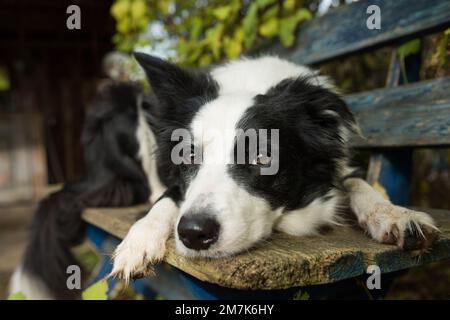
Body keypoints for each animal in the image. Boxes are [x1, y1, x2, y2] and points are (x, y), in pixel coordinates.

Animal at [11, 53, 440, 298]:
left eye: (263, 156)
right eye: (186, 155)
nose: (194, 234)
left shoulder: (340, 165)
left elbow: (358, 183)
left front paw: (394, 215)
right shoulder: (173, 183)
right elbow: (166, 199)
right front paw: (139, 239)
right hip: (127, 103)